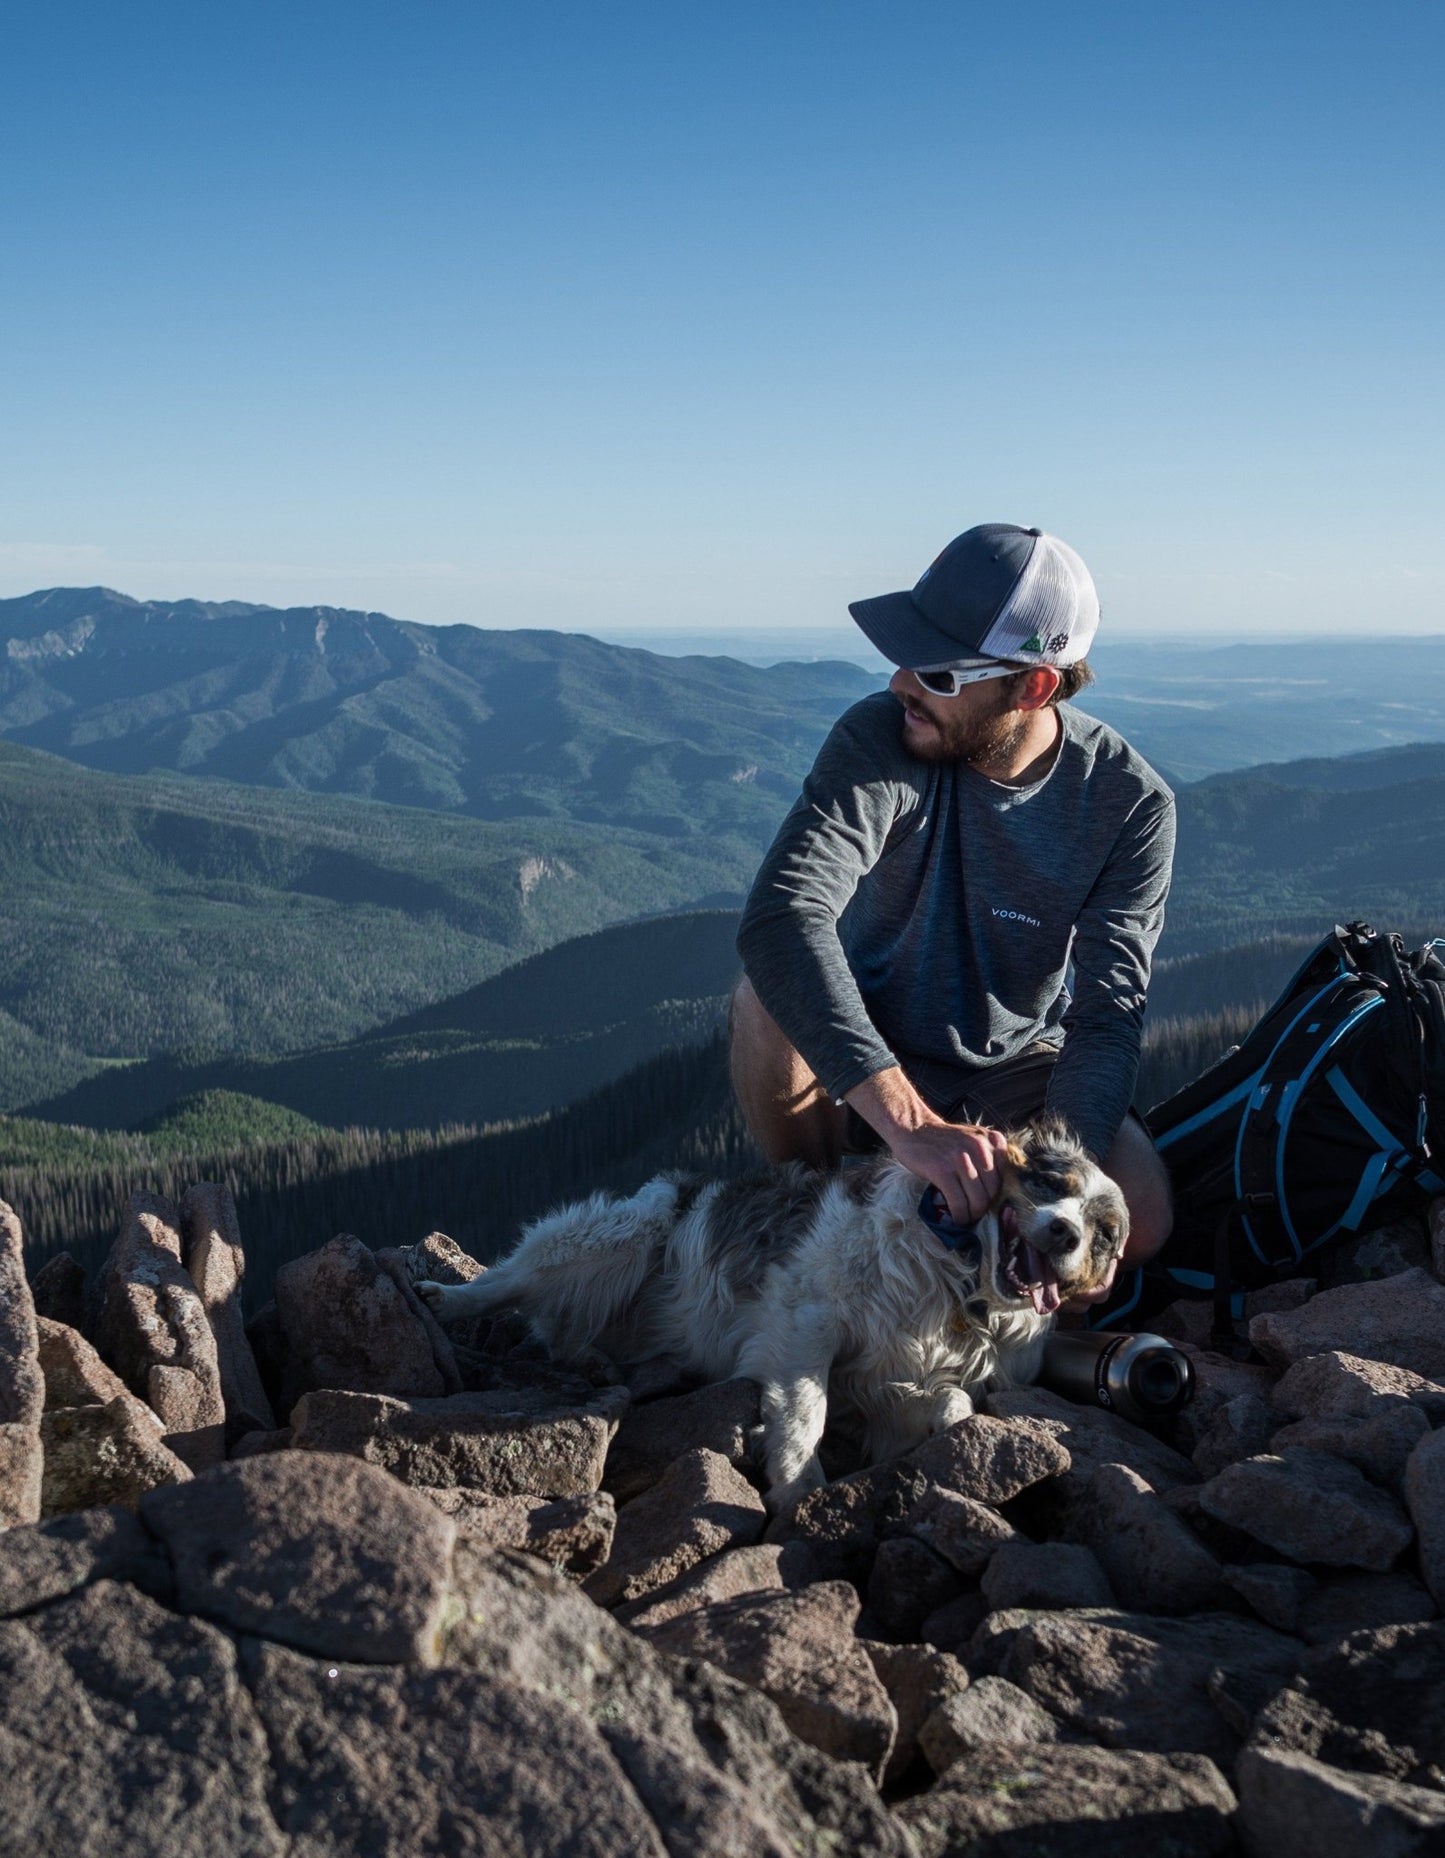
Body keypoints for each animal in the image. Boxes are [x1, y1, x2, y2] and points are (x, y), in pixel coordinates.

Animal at [416, 1114, 1129, 1508]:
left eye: (1104, 1235)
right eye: (1050, 1182)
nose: (1065, 1234)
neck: (957, 1282)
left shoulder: (882, 1379)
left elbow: (952, 1402)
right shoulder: (804, 1320)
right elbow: (806, 1408)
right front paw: (795, 1481)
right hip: (623, 1234)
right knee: (516, 1277)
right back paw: (445, 1299)